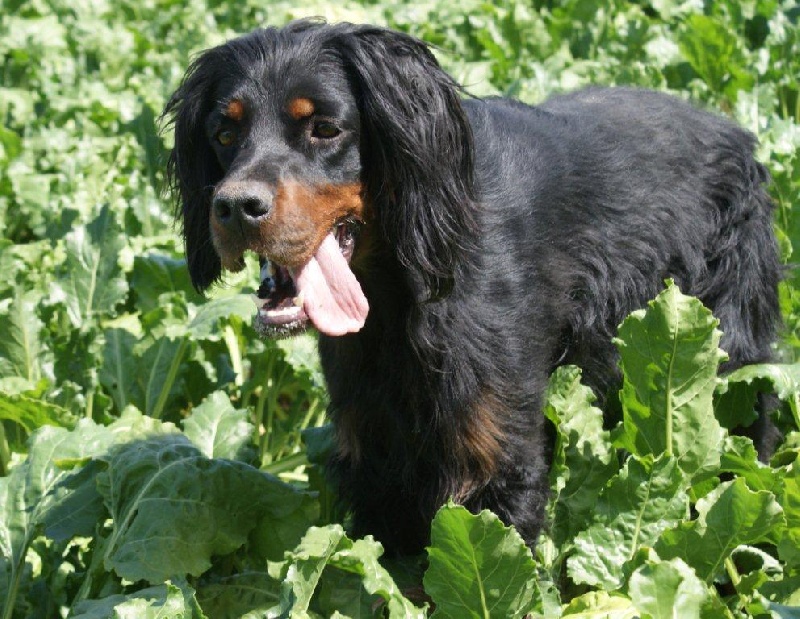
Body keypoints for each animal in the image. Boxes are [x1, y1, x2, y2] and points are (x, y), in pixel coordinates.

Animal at [164, 20, 780, 556]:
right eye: (224, 133)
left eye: (325, 129)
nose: (235, 207)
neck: (405, 292)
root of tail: (733, 131)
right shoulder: (377, 465)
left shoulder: (496, 462)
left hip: (731, 361)